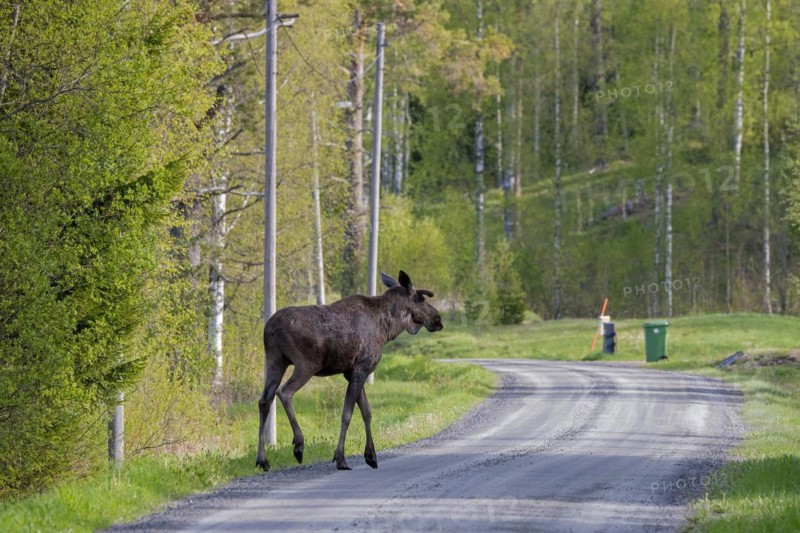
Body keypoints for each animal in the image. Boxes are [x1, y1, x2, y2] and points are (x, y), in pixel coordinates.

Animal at [255, 270, 444, 472]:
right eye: (421, 298)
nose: (438, 319)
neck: (387, 328)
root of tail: (269, 328)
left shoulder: (352, 372)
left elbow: (367, 411)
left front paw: (371, 456)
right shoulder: (361, 368)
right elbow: (347, 414)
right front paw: (341, 458)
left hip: (275, 360)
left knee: (264, 400)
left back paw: (262, 460)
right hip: (306, 364)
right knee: (284, 392)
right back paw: (299, 444)